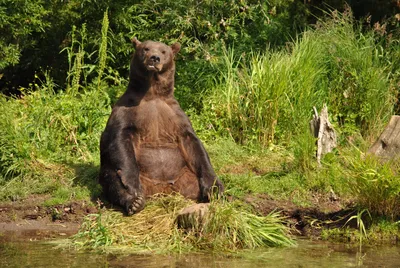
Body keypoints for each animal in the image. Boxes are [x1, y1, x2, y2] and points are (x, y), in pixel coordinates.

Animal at [98, 37, 223, 215]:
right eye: (146, 48)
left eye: (164, 51)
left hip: (186, 175)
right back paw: (134, 201)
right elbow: (120, 140)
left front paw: (214, 187)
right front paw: (132, 189)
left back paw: (212, 194)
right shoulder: (126, 112)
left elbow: (194, 145)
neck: (152, 94)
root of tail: (163, 190)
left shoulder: (175, 116)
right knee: (110, 176)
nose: (154, 58)